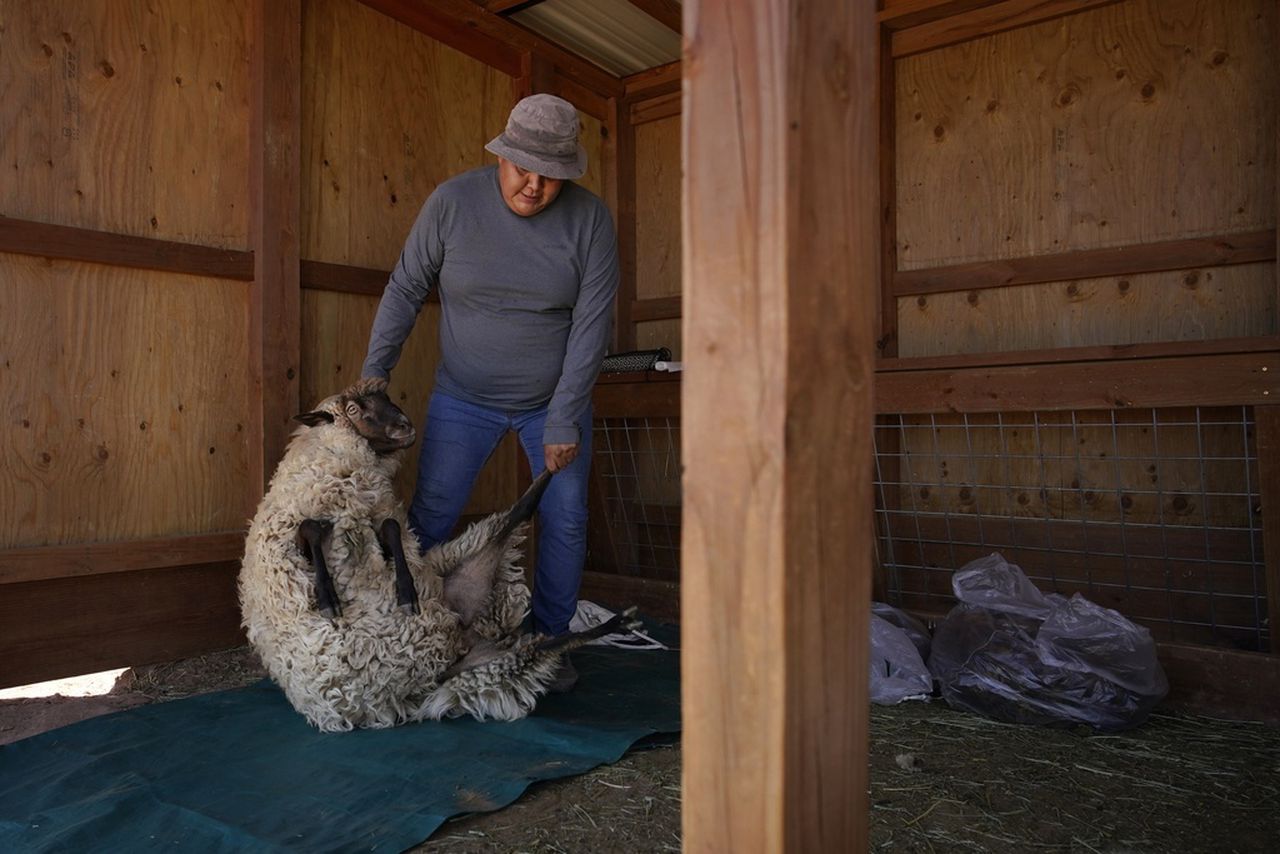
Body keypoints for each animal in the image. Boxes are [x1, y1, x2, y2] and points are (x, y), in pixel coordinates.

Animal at [238, 381, 637, 737]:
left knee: (522, 513)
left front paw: (404, 591)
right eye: (352, 409)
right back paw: (614, 624)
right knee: (538, 637)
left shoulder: (383, 513)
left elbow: (391, 528)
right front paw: (329, 600)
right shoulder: (300, 529)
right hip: (482, 657)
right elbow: (311, 529)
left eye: (386, 398)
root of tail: (460, 642)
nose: (405, 426)